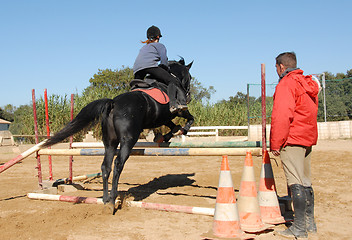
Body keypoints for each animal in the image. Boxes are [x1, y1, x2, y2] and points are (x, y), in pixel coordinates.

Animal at [43, 58, 195, 214]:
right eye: (189, 77)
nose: (188, 96)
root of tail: (113, 103)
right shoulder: (177, 111)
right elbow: (189, 118)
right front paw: (178, 131)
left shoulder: (163, 118)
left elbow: (172, 125)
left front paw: (166, 135)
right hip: (128, 140)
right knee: (118, 164)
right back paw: (112, 200)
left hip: (110, 142)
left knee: (106, 167)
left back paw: (105, 200)